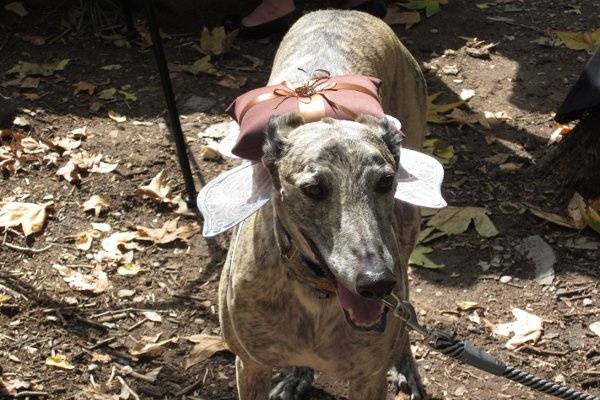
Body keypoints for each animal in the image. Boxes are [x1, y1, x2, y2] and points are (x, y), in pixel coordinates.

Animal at [219, 8, 426, 400]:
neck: (318, 292)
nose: (376, 283)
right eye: (313, 189)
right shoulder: (250, 365)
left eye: (385, 181)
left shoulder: (367, 378)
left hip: (407, 229)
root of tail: (343, 10)